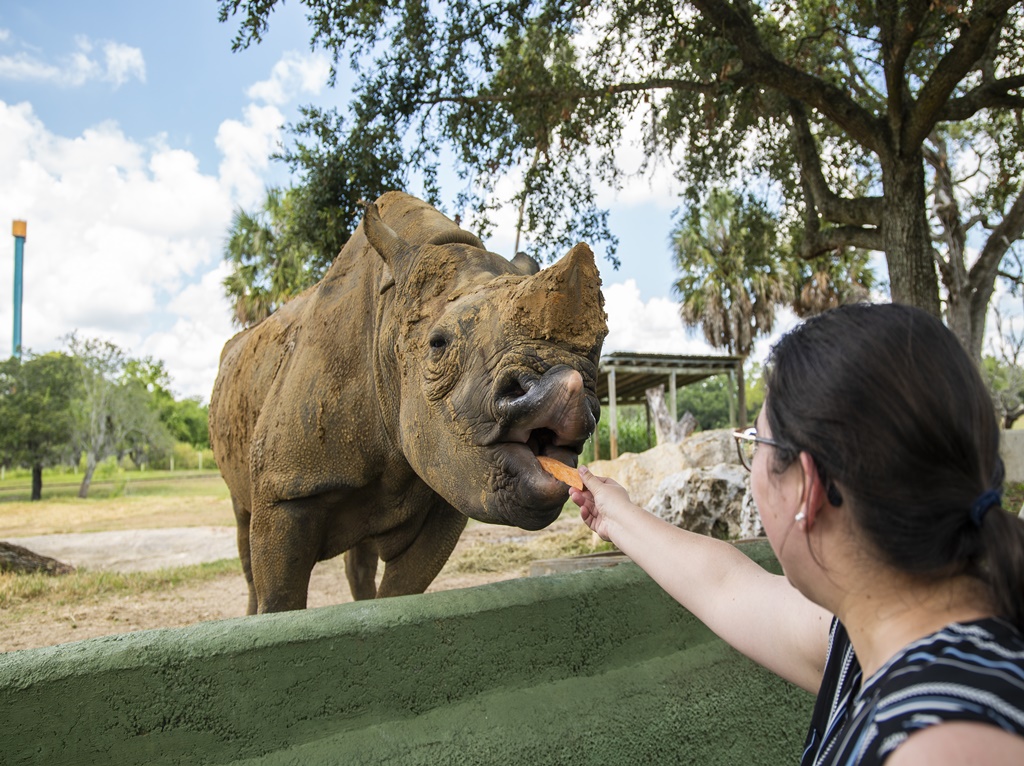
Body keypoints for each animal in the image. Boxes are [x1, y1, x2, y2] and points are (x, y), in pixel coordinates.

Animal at [208, 192, 606, 614]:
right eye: (438, 344)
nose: (563, 385)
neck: (389, 325)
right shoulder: (286, 489)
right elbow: (280, 598)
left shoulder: (447, 488)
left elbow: (402, 594)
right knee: (243, 528)